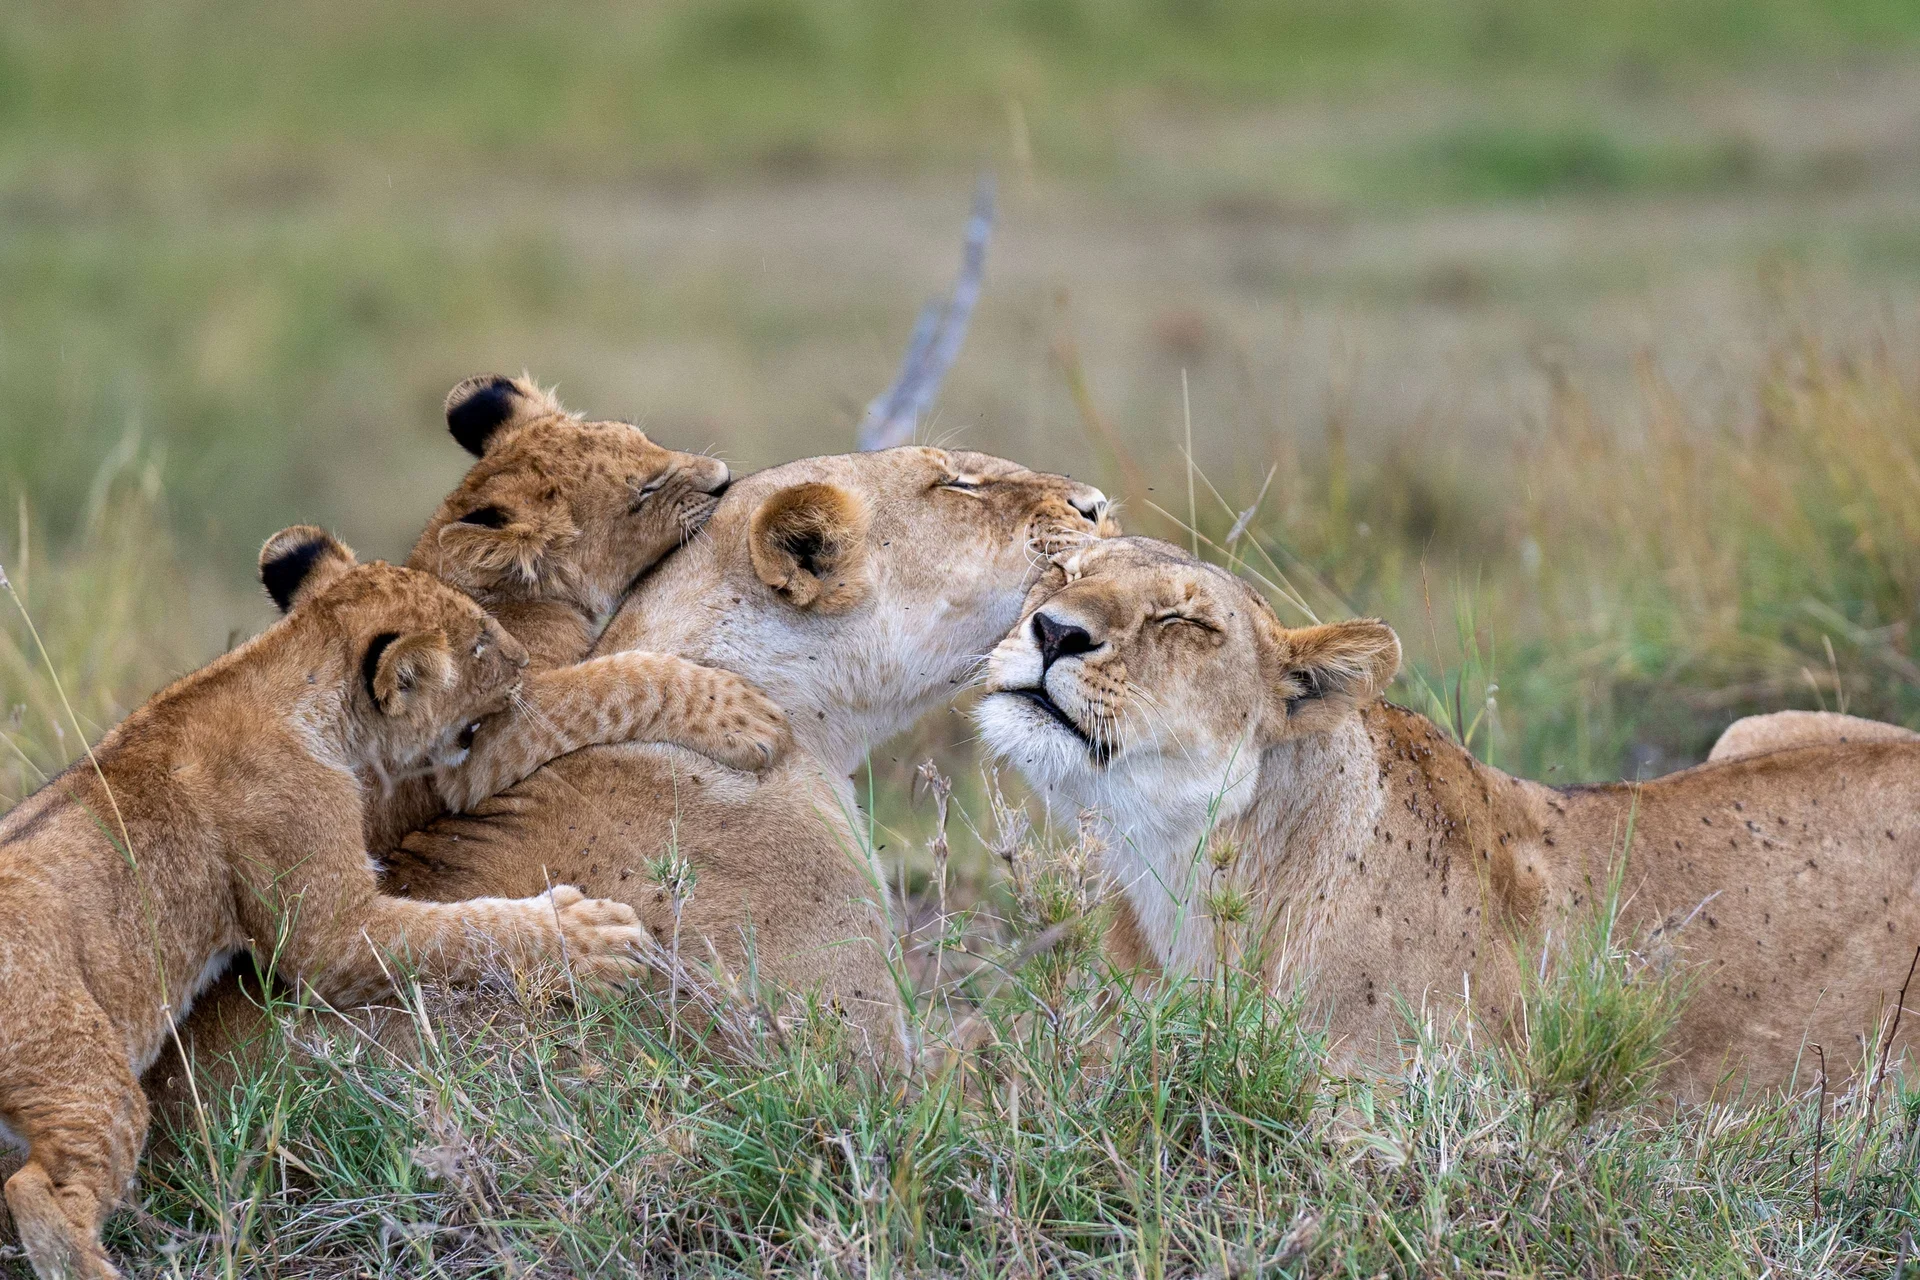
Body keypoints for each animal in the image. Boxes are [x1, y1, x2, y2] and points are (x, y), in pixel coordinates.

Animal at [0, 530, 650, 1280]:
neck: (290, 671)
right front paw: (592, 938)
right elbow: (462, 930)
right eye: (483, 643)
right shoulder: (329, 934)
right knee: (36, 1190)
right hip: (83, 1074)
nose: (523, 662)